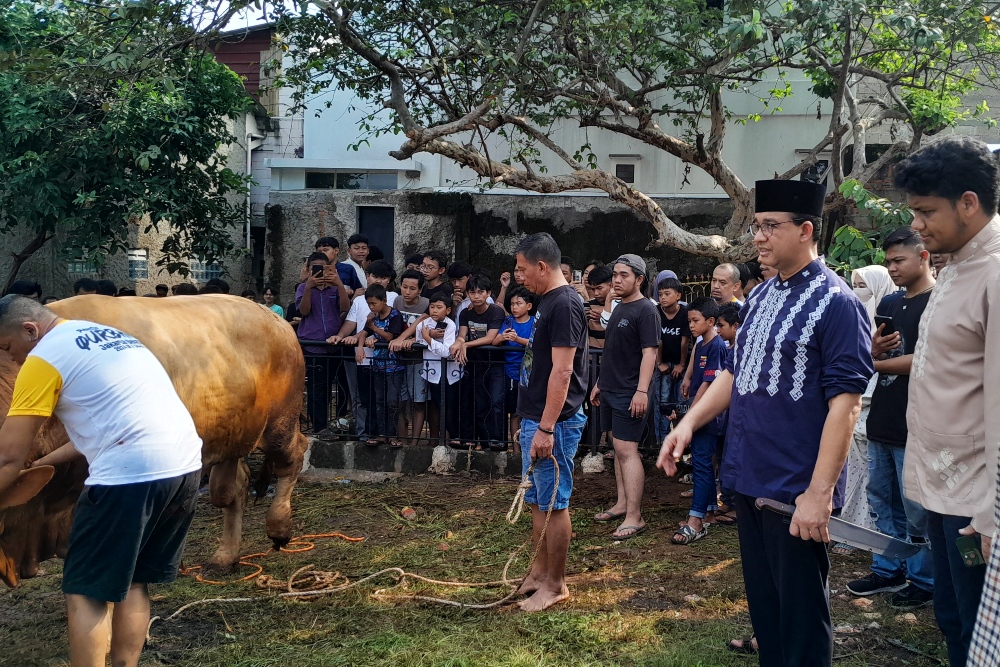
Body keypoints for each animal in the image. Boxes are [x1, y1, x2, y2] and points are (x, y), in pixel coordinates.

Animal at [0, 294, 306, 588]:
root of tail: (275, 319)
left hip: (279, 425)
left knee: (294, 455)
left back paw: (279, 527)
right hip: (233, 434)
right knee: (231, 489)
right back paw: (225, 557)